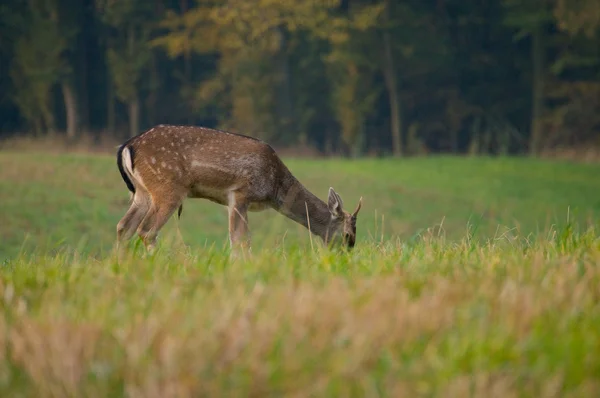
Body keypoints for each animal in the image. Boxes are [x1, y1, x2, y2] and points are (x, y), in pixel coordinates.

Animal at [115, 125, 364, 255]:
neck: (275, 188)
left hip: (142, 192)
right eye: (347, 235)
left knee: (124, 227)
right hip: (167, 188)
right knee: (146, 230)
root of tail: (127, 146)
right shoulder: (240, 193)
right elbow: (240, 239)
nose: (345, 255)